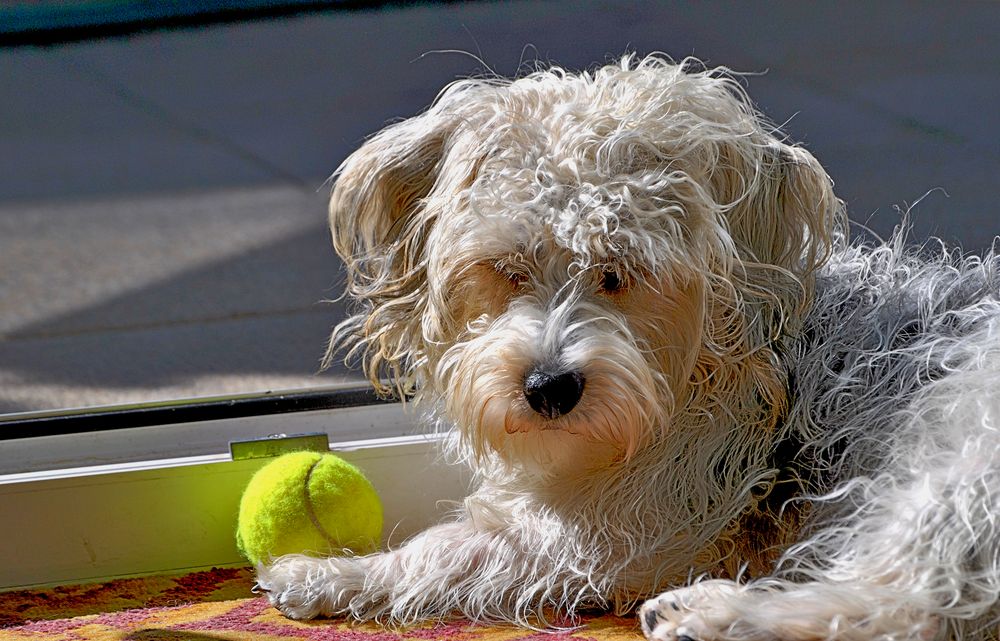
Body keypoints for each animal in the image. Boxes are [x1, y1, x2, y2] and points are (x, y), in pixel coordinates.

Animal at [258, 56, 1000, 640]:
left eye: (620, 272)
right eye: (508, 268)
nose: (549, 388)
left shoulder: (624, 529)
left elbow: (453, 549)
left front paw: (330, 573)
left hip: (950, 459)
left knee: (907, 606)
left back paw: (717, 615)